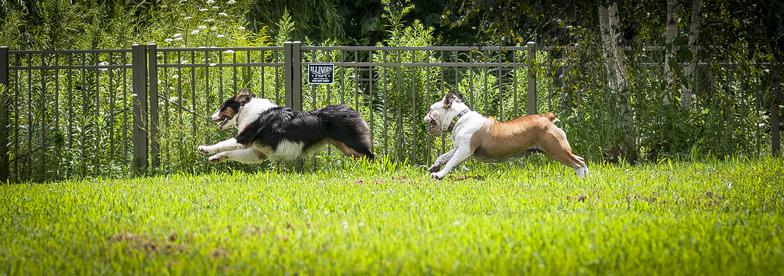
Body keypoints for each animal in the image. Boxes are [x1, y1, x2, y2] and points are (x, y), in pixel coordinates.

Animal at [201, 88, 376, 163]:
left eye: (223, 107)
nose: (210, 117)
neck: (245, 109)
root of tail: (351, 110)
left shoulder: (244, 137)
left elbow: (222, 143)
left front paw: (205, 148)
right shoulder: (257, 152)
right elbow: (230, 153)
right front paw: (215, 158)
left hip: (353, 144)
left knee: (373, 157)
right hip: (347, 148)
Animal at [422, 92, 588, 179]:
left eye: (430, 109)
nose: (425, 115)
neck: (459, 117)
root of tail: (547, 118)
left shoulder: (464, 150)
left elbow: (450, 163)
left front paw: (439, 174)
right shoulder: (458, 147)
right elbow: (443, 156)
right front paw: (434, 166)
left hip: (556, 149)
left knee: (577, 163)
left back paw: (580, 179)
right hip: (556, 149)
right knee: (580, 160)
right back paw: (586, 177)